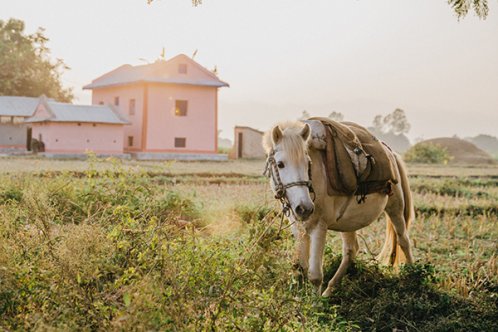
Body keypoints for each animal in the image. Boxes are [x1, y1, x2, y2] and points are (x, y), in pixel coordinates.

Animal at [262, 120, 414, 296]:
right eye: (280, 164)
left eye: (308, 163)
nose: (304, 208)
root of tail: (392, 154)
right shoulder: (298, 227)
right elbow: (300, 268)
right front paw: (300, 298)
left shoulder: (319, 226)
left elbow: (315, 275)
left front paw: (314, 303)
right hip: (349, 222)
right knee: (351, 251)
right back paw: (328, 292)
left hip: (395, 208)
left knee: (404, 240)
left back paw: (414, 276)